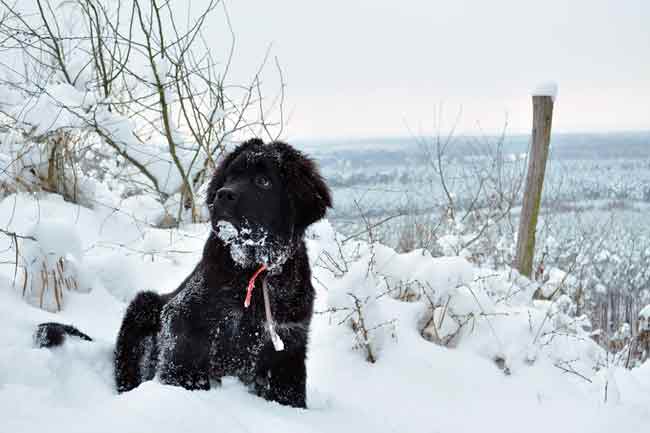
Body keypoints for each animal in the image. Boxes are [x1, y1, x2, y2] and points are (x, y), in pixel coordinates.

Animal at [35, 139, 330, 408]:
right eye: (231, 176)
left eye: (263, 181)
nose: (223, 194)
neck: (253, 272)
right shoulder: (184, 319)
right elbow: (181, 368)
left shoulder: (290, 343)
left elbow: (289, 391)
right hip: (143, 306)